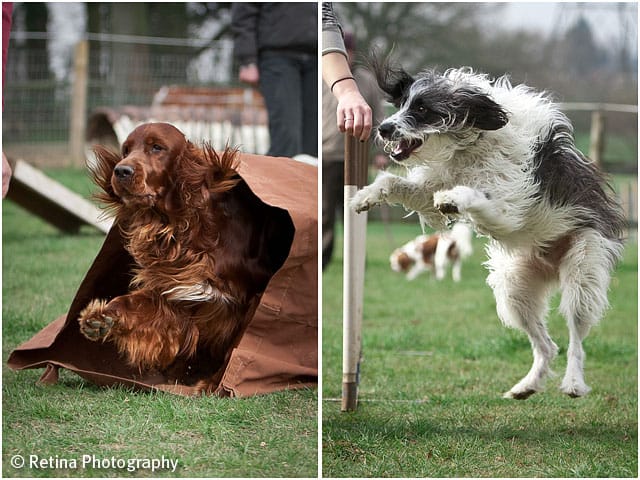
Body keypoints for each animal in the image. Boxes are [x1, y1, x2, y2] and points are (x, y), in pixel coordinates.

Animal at [78, 122, 296, 392]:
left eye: (157, 147)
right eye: (126, 149)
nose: (121, 171)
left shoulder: (251, 299)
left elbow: (237, 346)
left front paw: (213, 383)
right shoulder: (176, 294)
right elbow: (137, 303)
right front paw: (102, 317)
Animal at [350, 62, 624, 400]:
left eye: (423, 108)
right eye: (402, 104)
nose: (384, 128)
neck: (470, 144)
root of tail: (552, 264)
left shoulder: (507, 209)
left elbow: (474, 193)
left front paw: (453, 198)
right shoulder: (429, 190)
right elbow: (393, 182)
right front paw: (364, 197)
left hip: (582, 272)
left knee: (575, 338)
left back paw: (573, 382)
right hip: (514, 291)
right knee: (547, 346)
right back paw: (526, 386)